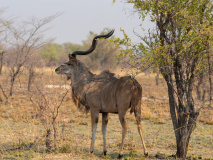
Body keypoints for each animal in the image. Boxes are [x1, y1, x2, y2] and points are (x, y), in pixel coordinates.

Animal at [55, 29, 148, 158]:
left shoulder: (94, 109)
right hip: (138, 108)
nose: (57, 69)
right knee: (139, 125)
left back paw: (120, 154)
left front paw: (91, 150)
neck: (89, 83)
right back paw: (146, 152)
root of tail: (134, 83)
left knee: (125, 127)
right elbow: (104, 129)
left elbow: (94, 127)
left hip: (122, 111)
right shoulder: (105, 112)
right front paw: (104, 151)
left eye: (68, 63)